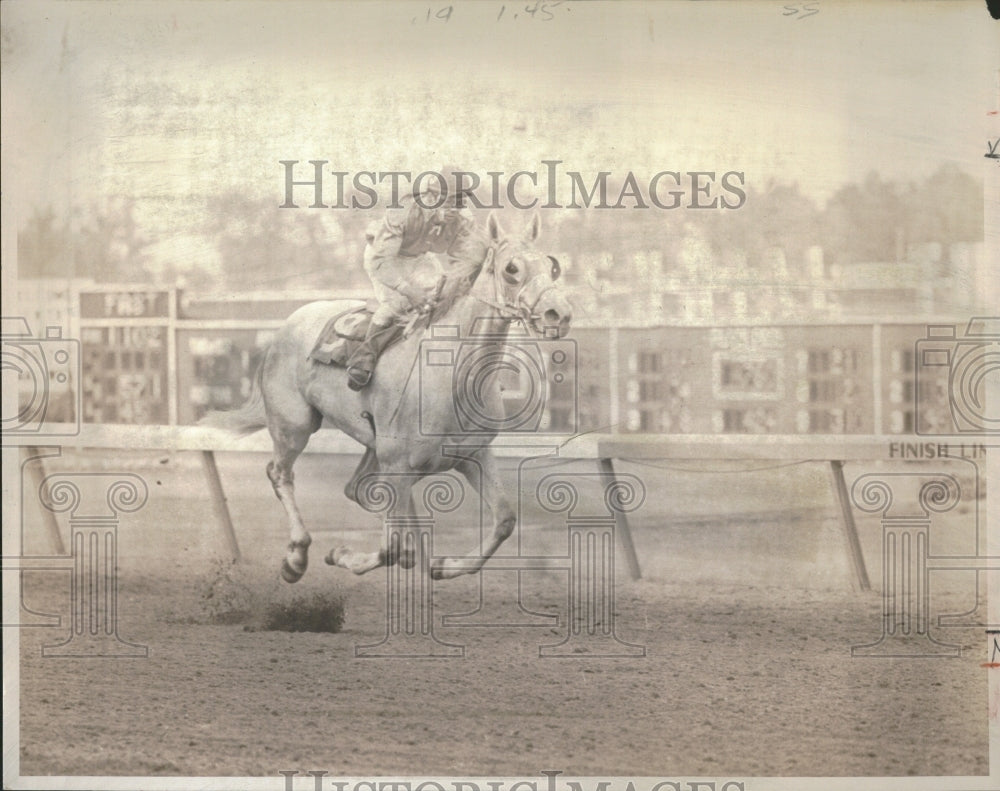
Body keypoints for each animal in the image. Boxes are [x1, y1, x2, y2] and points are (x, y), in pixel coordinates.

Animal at [205, 213, 572, 584]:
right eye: (512, 268)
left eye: (551, 265)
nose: (559, 314)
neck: (450, 376)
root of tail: (286, 326)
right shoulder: (396, 463)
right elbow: (392, 547)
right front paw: (341, 554)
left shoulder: (473, 455)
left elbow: (504, 520)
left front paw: (442, 564)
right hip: (293, 425)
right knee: (280, 473)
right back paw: (295, 558)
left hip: (372, 448)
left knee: (354, 489)